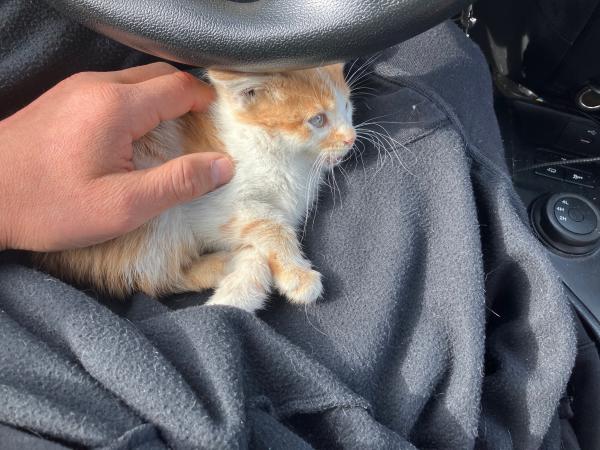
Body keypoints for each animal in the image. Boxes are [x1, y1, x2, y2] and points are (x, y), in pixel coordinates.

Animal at [36, 64, 356, 312]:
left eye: (347, 106)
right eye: (317, 119)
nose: (351, 138)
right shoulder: (210, 202)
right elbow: (269, 223)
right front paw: (297, 275)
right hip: (150, 216)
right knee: (156, 277)